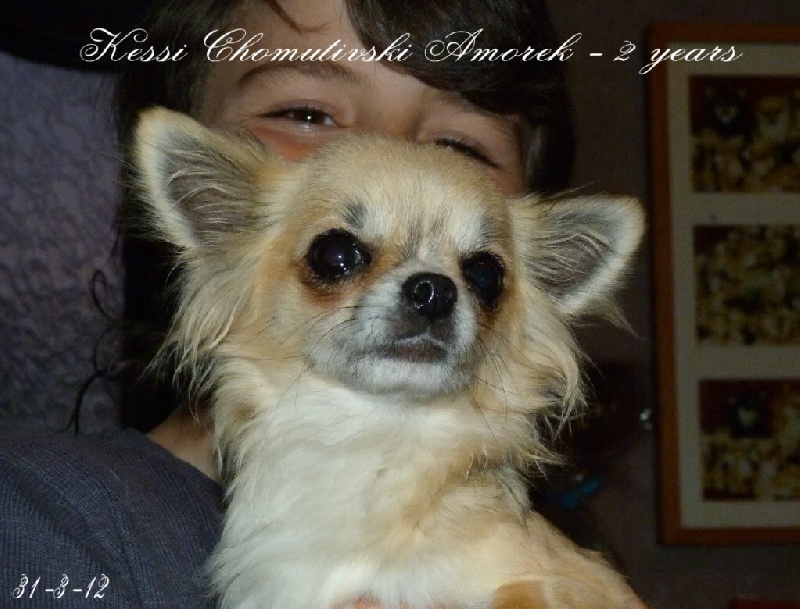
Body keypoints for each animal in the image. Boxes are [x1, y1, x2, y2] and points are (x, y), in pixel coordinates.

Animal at [132, 107, 644, 609]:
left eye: (486, 275)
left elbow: (519, 597)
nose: (435, 289)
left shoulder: (574, 583)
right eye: (335, 253)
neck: (373, 432)